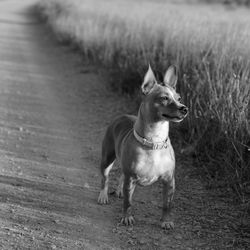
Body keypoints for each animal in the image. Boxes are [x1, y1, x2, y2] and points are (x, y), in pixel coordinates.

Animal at [97, 64, 188, 229]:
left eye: (179, 98)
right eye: (164, 98)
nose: (184, 108)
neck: (154, 142)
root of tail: (122, 115)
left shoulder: (169, 181)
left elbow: (167, 204)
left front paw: (166, 221)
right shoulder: (131, 178)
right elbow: (128, 202)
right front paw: (127, 218)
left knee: (121, 176)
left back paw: (119, 191)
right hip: (107, 159)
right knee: (105, 178)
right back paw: (103, 196)